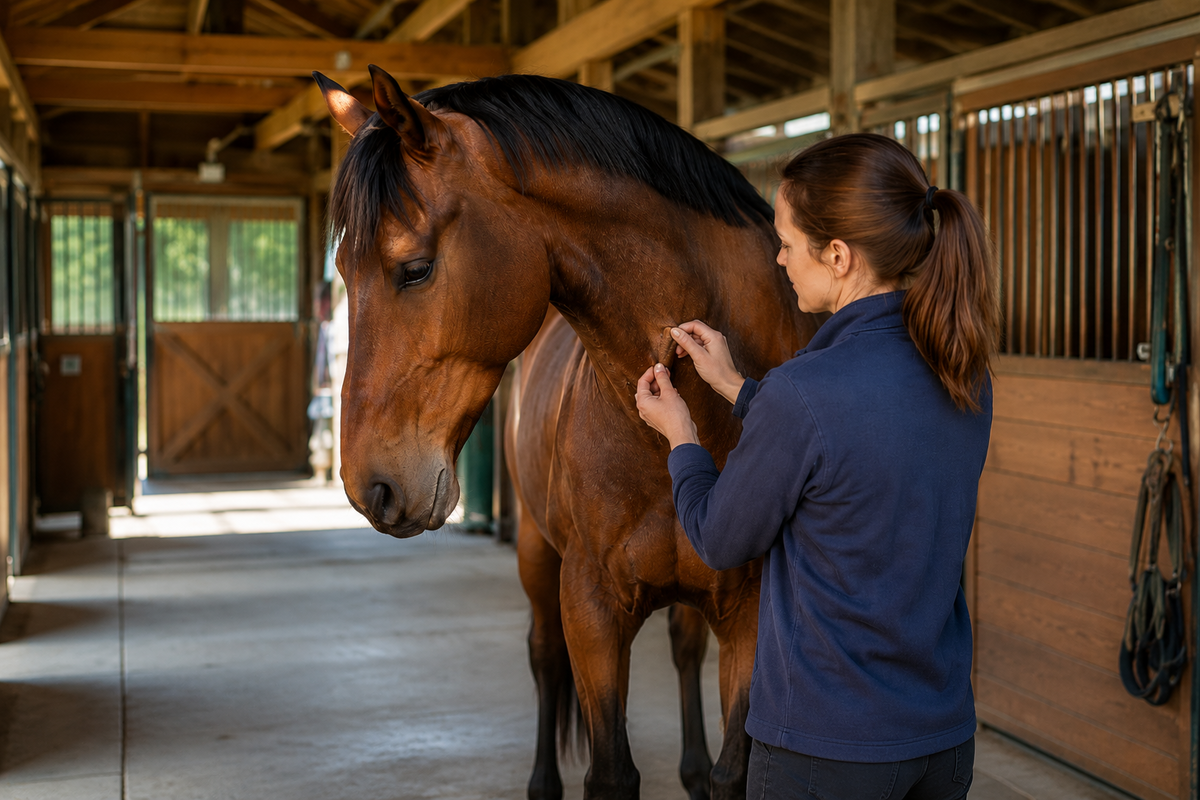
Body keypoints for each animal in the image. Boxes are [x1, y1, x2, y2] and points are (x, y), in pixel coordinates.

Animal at [318, 65, 819, 800]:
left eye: (414, 268)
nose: (369, 488)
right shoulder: (592, 607)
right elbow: (609, 769)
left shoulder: (753, 610)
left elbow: (735, 771)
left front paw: (709, 770)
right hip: (534, 550)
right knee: (544, 656)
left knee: (683, 650)